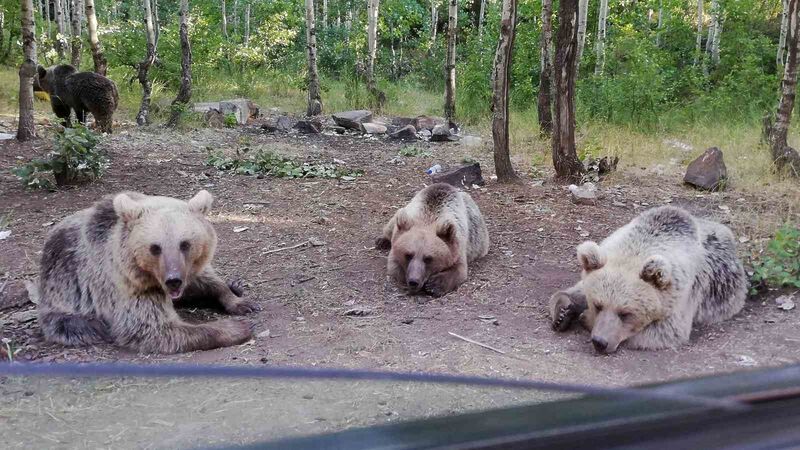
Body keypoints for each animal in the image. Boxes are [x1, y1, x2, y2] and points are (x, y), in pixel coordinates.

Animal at [36, 188, 256, 354]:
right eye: (155, 247)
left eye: (185, 244)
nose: (173, 280)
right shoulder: (128, 286)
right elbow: (154, 328)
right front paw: (237, 327)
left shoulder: (188, 271)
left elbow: (207, 281)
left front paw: (240, 300)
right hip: (62, 300)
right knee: (76, 325)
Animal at [548, 206, 748, 354]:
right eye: (598, 305)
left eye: (626, 313)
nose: (600, 342)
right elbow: (577, 289)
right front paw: (563, 312)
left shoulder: (682, 297)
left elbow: (664, 332)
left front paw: (584, 317)